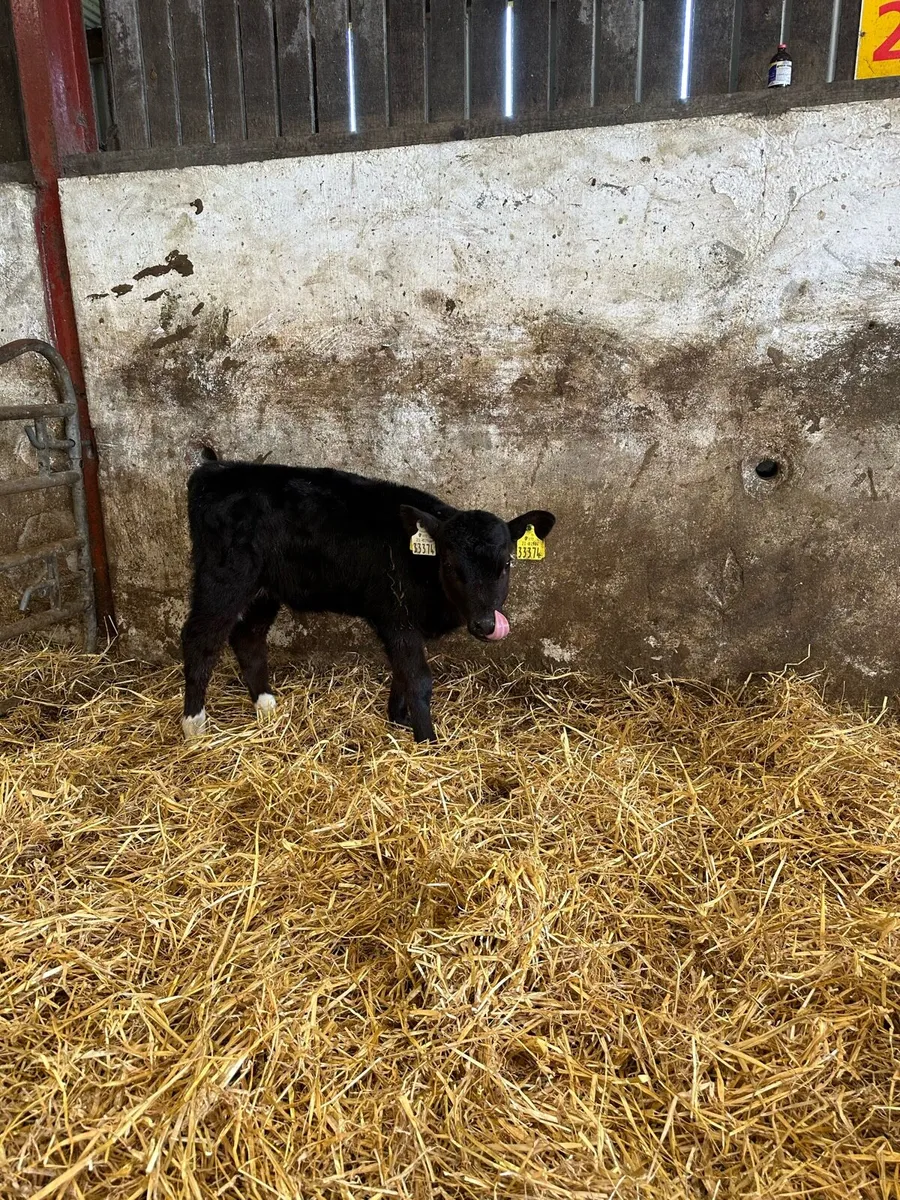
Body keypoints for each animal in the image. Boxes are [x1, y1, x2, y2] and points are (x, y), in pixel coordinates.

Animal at [180, 449, 555, 743]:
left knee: (248, 637)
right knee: (200, 639)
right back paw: (194, 726)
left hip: (264, 588)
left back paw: (266, 706)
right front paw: (427, 740)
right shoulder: (395, 616)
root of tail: (214, 470)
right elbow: (418, 678)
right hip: (224, 577)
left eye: (506, 564)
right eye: (449, 564)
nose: (485, 624)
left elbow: (402, 671)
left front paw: (399, 719)